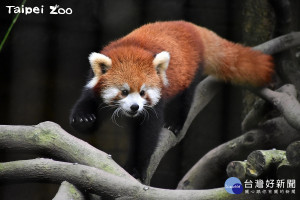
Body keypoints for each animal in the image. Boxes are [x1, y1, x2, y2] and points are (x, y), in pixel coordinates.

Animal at [70, 20, 274, 181]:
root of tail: (192, 27)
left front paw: (136, 169)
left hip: (190, 71)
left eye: (143, 92)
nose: (135, 107)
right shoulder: (94, 83)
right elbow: (88, 104)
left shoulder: (156, 101)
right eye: (124, 92)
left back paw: (176, 122)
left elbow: (148, 135)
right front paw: (84, 118)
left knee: (186, 97)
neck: (130, 48)